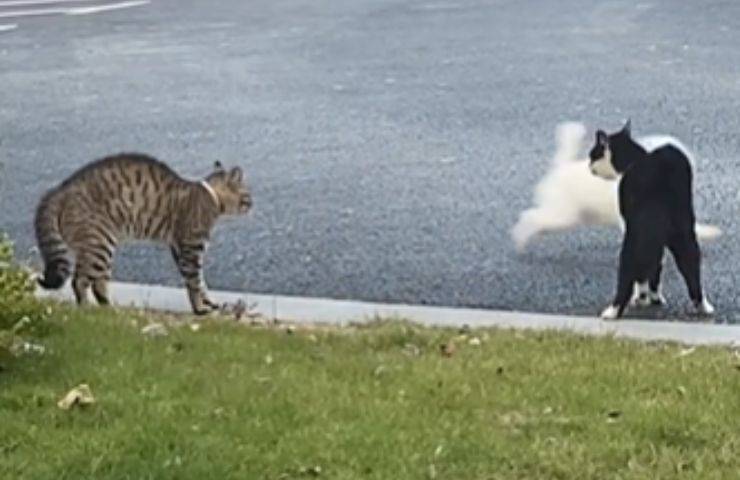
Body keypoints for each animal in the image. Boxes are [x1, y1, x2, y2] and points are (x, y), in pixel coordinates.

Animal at [33, 152, 253, 314]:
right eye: (248, 194)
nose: (253, 204)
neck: (211, 196)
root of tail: (60, 190)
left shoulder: (178, 248)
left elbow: (198, 280)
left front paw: (206, 300)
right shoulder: (191, 247)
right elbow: (195, 280)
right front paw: (199, 306)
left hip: (100, 247)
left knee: (97, 283)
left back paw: (107, 307)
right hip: (99, 243)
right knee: (79, 281)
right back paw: (87, 308)